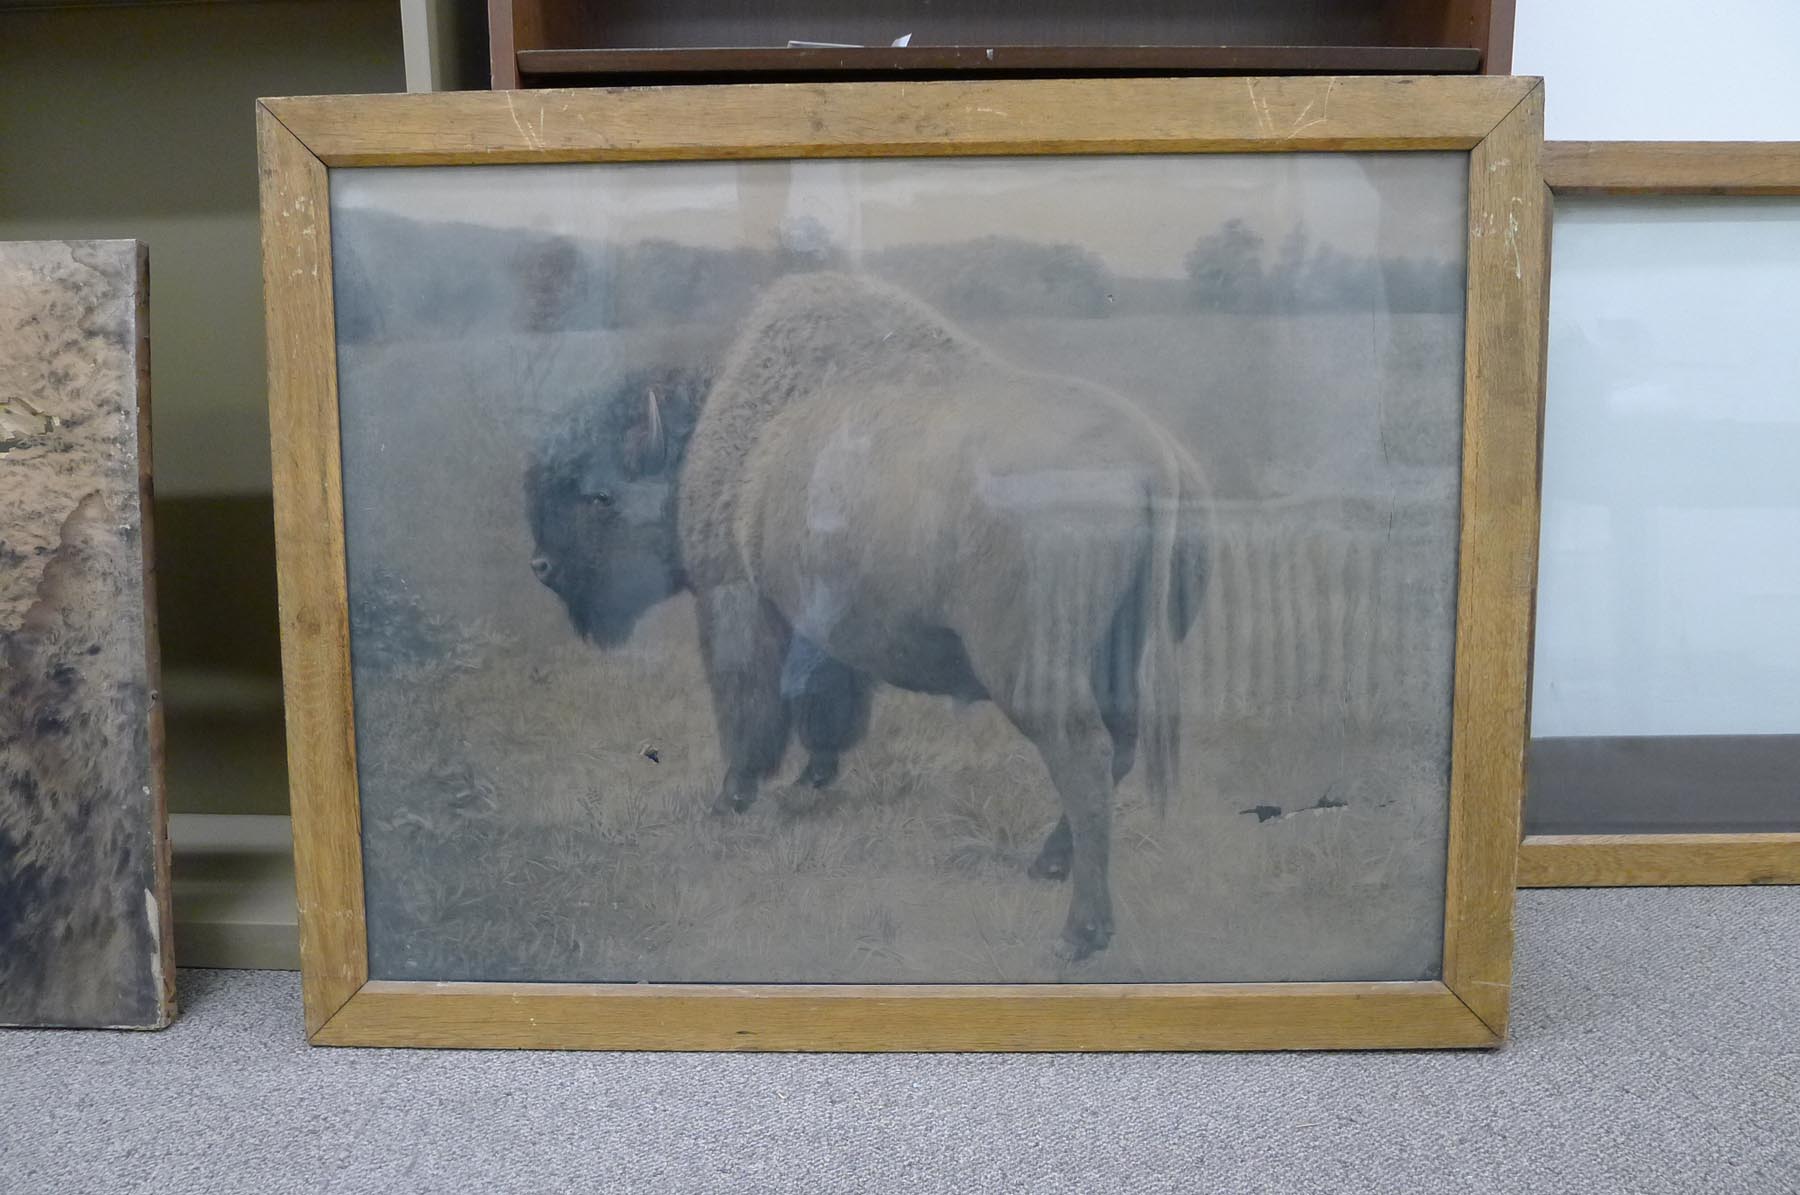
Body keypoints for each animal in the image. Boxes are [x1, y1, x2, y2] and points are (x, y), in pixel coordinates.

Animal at [529, 273, 1209, 964]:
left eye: (600, 496)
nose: (542, 567)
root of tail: (1154, 462)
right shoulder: (822, 631)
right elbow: (829, 707)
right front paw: (812, 780)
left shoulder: (737, 600)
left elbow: (751, 711)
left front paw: (731, 799)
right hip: (1121, 654)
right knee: (1118, 747)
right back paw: (1048, 866)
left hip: (1032, 668)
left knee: (1083, 755)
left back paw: (1079, 931)